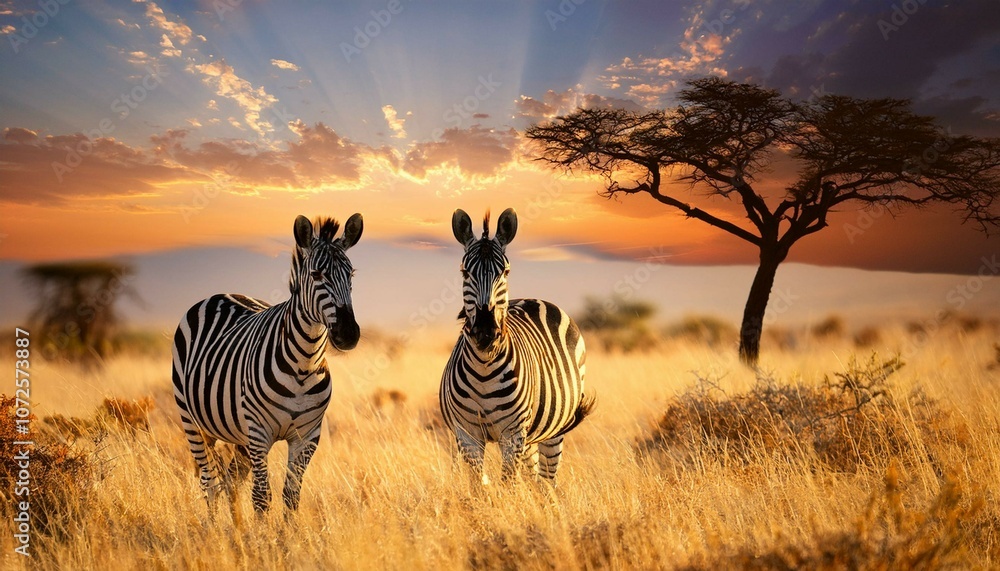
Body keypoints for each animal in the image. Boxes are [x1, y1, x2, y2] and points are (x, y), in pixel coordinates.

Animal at [172, 213, 363, 513]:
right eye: (316, 275)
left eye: (351, 274)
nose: (348, 334)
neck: (304, 365)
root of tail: (221, 293)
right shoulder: (259, 433)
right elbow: (261, 497)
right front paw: (262, 527)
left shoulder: (307, 436)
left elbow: (291, 495)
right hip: (192, 422)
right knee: (209, 483)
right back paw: (212, 524)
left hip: (239, 434)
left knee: (230, 480)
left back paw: (236, 525)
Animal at [439, 207, 594, 485]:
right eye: (464, 272)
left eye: (506, 272)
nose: (486, 331)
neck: (483, 366)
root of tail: (533, 299)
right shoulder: (467, 435)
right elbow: (478, 485)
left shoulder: (512, 435)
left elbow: (508, 484)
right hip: (529, 437)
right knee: (534, 478)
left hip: (552, 431)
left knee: (546, 481)